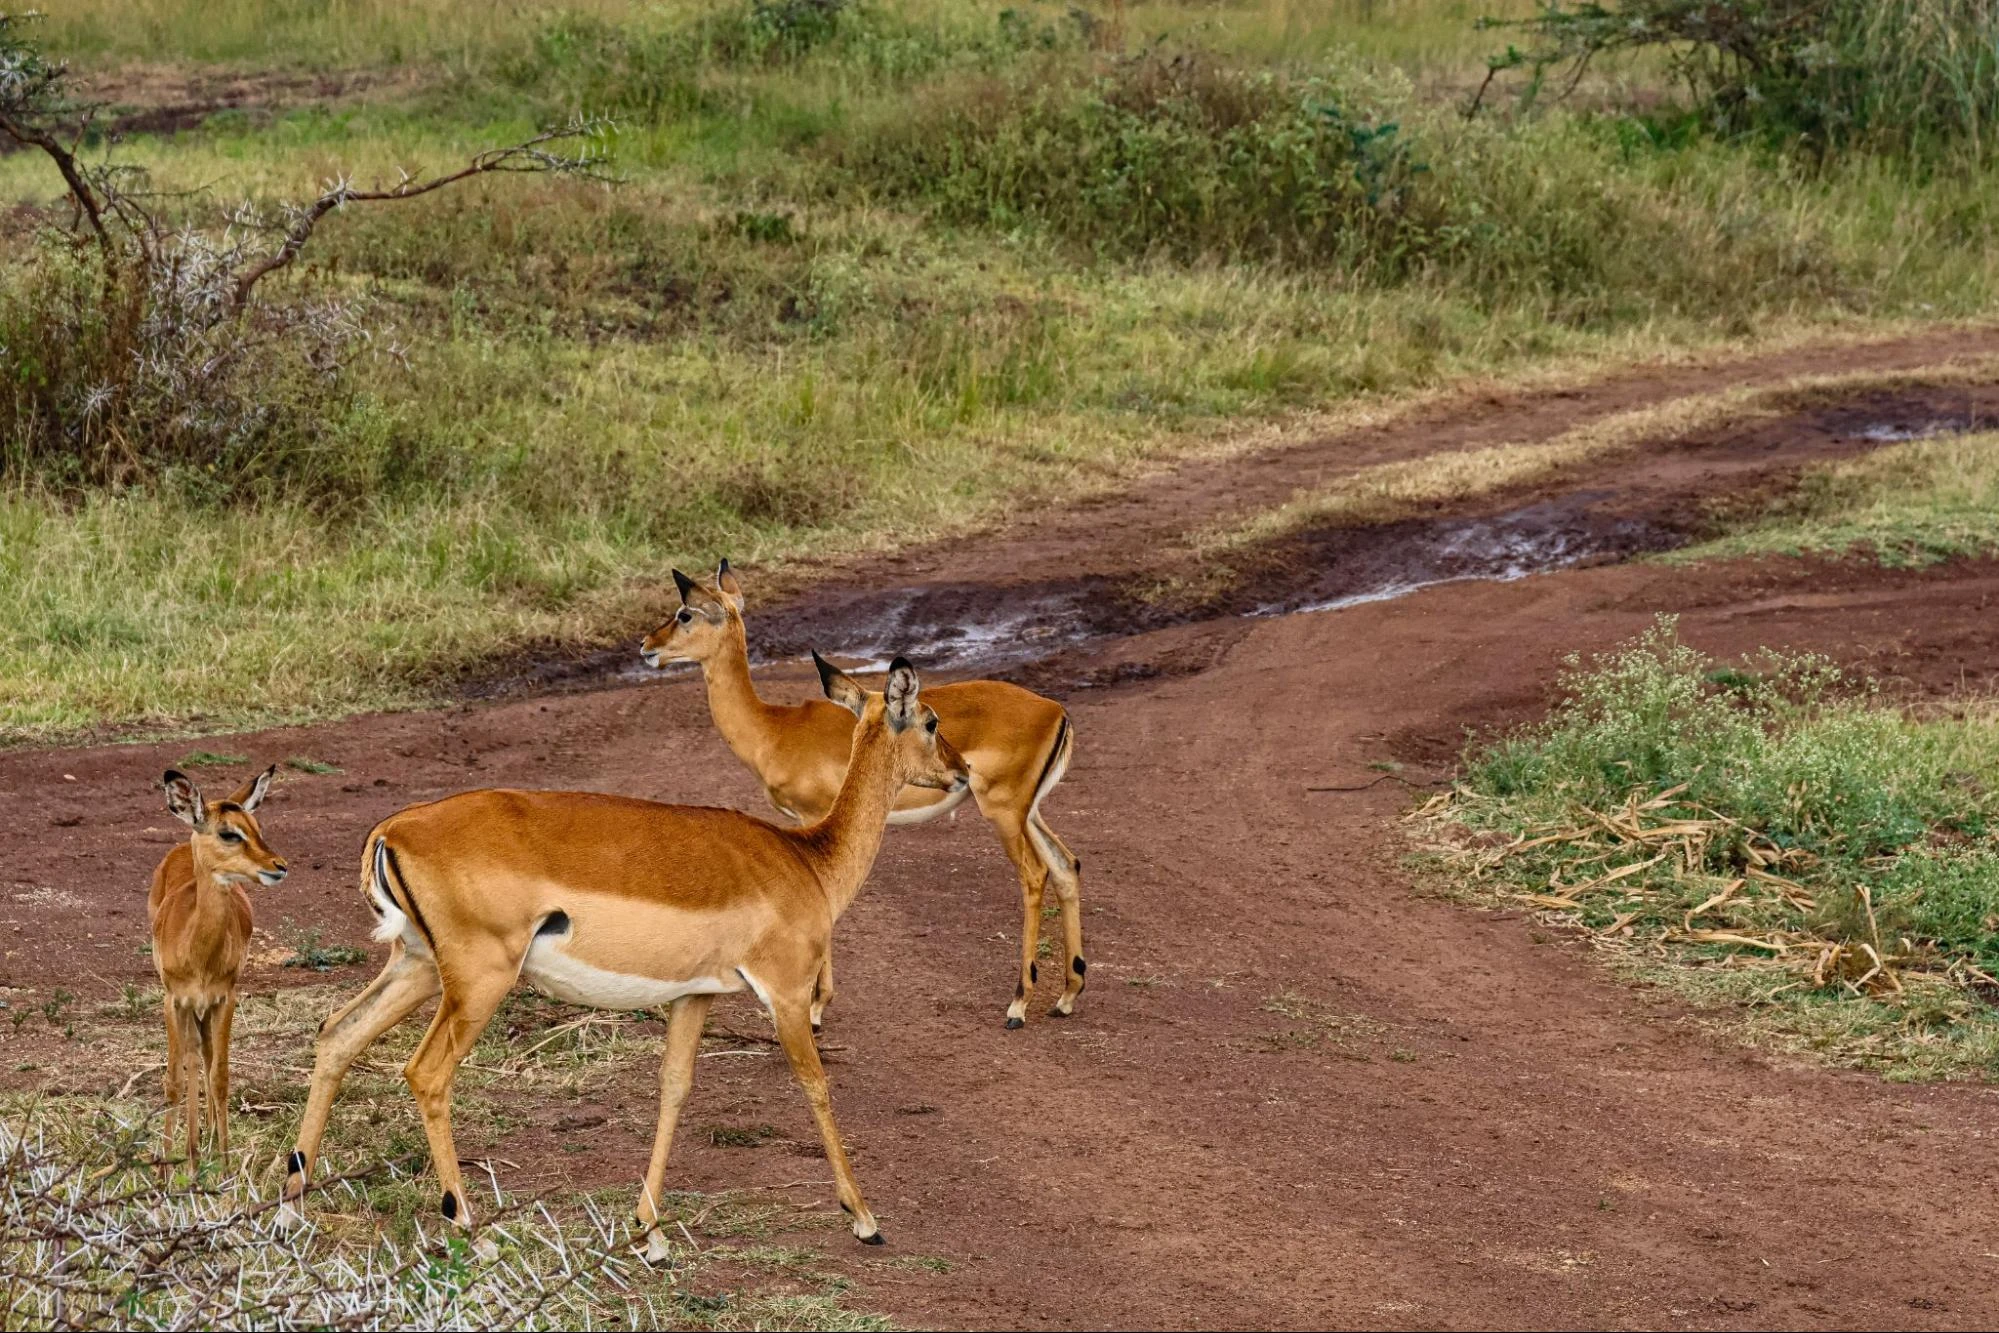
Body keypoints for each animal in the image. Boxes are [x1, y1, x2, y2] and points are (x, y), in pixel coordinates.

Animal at [148, 767, 285, 1159]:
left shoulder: (225, 998)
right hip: (190, 1007)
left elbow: (220, 1076)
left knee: (205, 1055)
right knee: (194, 1056)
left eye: (256, 826)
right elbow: (174, 1080)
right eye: (229, 833)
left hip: (206, 1008)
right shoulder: (172, 1001)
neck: (199, 954)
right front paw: (168, 1165)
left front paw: (223, 1162)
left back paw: (205, 1137)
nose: (279, 866)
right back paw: (194, 1144)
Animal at [281, 655, 967, 1263]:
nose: (962, 771)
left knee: (336, 1034)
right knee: (425, 1074)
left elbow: (674, 1088)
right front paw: (865, 1219)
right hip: (477, 983)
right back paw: (472, 1231)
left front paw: (653, 1235)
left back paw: (290, 1210)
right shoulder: (788, 994)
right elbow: (816, 1084)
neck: (808, 860)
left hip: (418, 967)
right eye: (931, 721)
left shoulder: (695, 995)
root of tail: (393, 829)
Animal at [643, 563, 1087, 1031]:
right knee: (1065, 865)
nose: (647, 647)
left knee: (1034, 874)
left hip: (1003, 811)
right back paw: (1066, 996)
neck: (773, 729)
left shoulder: (813, 817)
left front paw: (817, 1008)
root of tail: (1055, 710)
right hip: (1027, 812)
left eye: (685, 614)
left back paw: (1018, 1004)